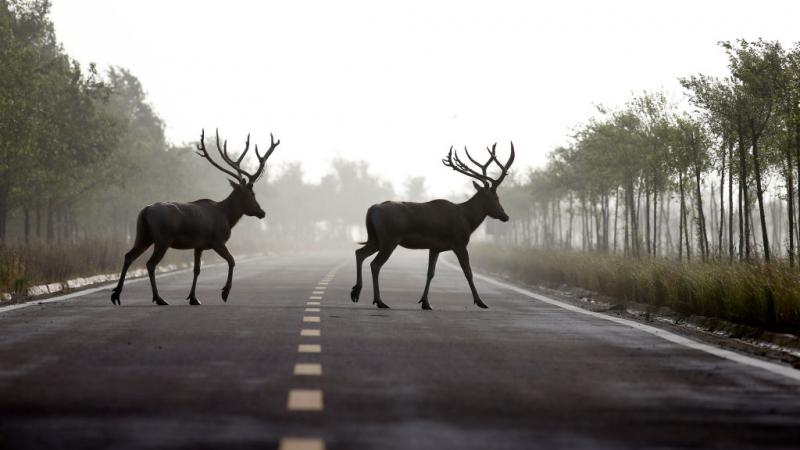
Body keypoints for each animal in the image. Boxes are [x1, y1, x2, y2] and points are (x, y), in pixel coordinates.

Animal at [110, 129, 280, 306]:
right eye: (252, 194)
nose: (262, 212)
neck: (228, 217)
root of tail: (145, 211)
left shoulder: (199, 246)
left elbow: (196, 270)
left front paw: (193, 297)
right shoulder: (217, 241)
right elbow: (232, 260)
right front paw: (225, 293)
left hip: (143, 234)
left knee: (129, 255)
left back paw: (116, 295)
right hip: (163, 238)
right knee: (150, 263)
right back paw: (159, 298)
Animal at [350, 142, 515, 310]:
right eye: (496, 197)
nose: (505, 216)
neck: (467, 220)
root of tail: (372, 209)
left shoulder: (435, 247)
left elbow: (431, 273)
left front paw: (425, 302)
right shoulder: (459, 243)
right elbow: (468, 272)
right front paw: (480, 302)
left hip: (376, 238)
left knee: (360, 253)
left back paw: (356, 292)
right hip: (390, 239)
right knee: (375, 264)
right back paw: (379, 300)